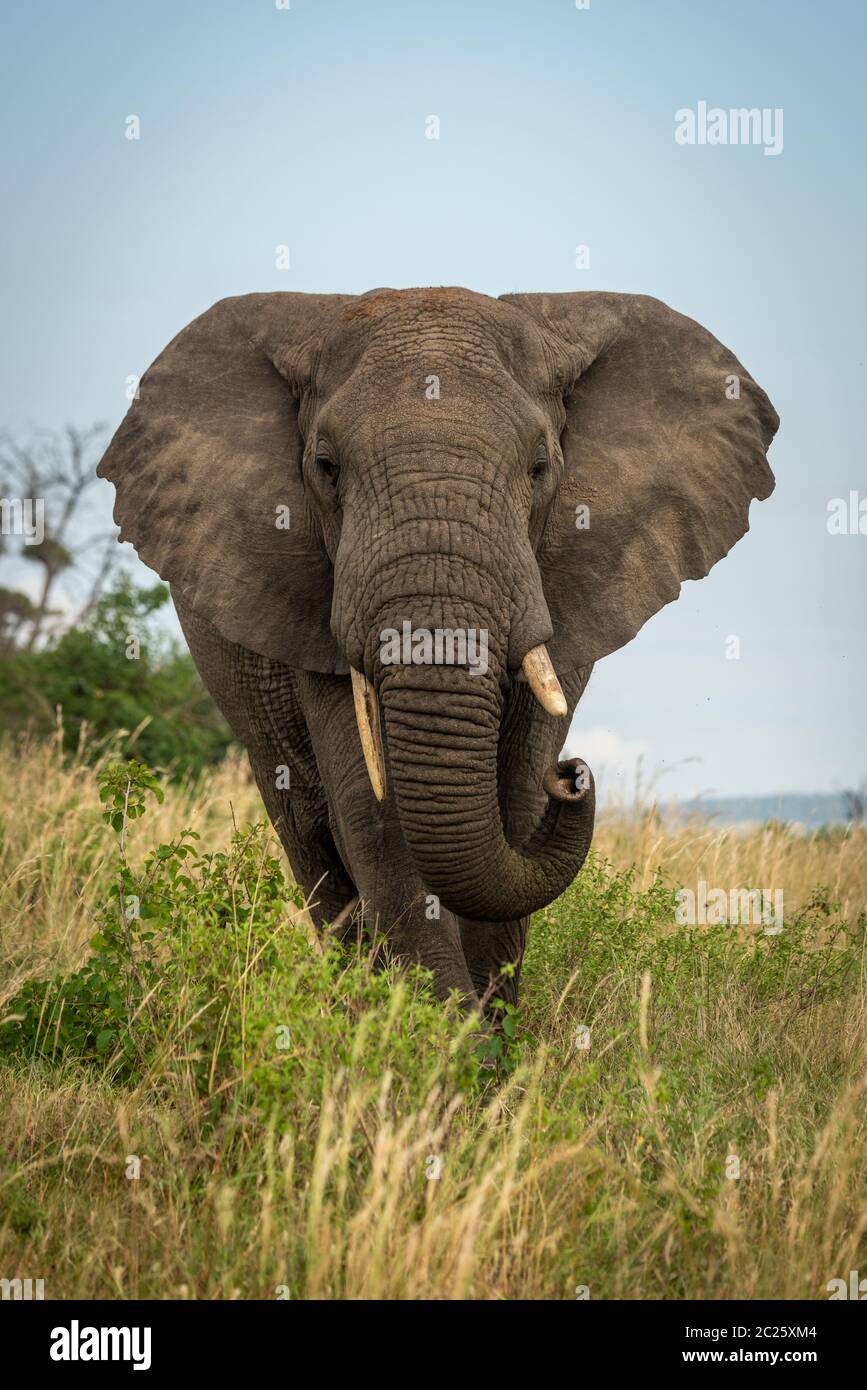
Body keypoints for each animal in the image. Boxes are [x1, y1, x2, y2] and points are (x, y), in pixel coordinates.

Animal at [97, 287, 778, 1014]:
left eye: (540, 468)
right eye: (325, 469)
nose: (573, 774)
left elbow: (514, 802)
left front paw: (488, 1039)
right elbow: (375, 817)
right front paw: (440, 1036)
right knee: (309, 839)